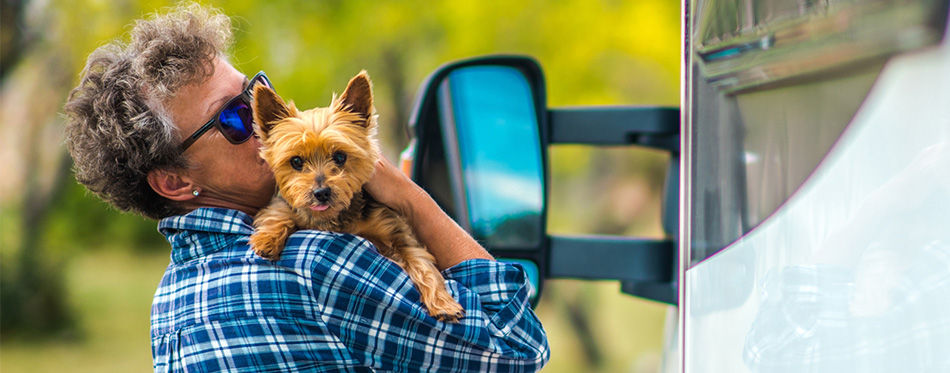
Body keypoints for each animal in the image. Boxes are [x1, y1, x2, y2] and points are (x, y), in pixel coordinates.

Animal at [249, 71, 464, 322]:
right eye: (296, 161)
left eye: (340, 157)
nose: (321, 193)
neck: (335, 219)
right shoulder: (288, 205)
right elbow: (278, 212)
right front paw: (267, 239)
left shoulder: (397, 233)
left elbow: (422, 264)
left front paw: (443, 303)